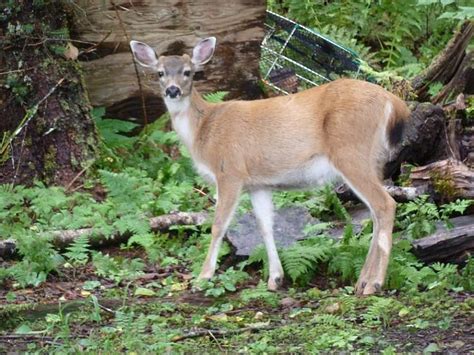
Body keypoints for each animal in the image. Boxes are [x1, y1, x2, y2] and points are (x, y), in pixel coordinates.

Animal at [130, 37, 412, 296]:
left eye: (188, 72)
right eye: (160, 73)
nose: (173, 90)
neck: (204, 130)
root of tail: (394, 103)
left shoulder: (230, 171)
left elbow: (218, 224)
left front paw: (203, 277)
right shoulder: (258, 184)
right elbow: (266, 226)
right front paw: (275, 278)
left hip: (351, 153)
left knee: (385, 205)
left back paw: (375, 283)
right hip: (373, 160)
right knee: (374, 212)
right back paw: (362, 280)